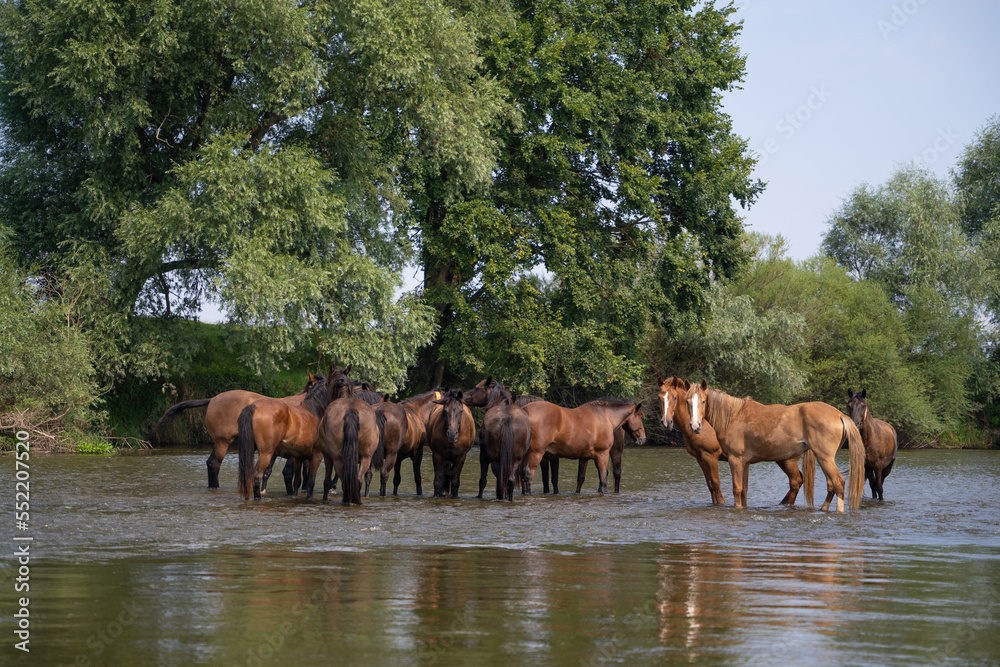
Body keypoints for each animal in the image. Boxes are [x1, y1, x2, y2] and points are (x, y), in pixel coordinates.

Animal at [658, 376, 808, 506]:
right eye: (659, 398)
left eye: (675, 397)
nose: (666, 422)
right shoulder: (700, 458)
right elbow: (710, 485)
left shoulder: (710, 456)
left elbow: (716, 483)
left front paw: (722, 504)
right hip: (781, 459)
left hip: (788, 460)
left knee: (796, 481)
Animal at [685, 380, 865, 512]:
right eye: (687, 401)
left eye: (703, 401)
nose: (695, 426)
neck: (733, 416)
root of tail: (840, 415)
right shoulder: (745, 463)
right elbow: (744, 491)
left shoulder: (735, 460)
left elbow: (737, 489)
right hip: (824, 459)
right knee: (831, 485)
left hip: (824, 458)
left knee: (838, 483)